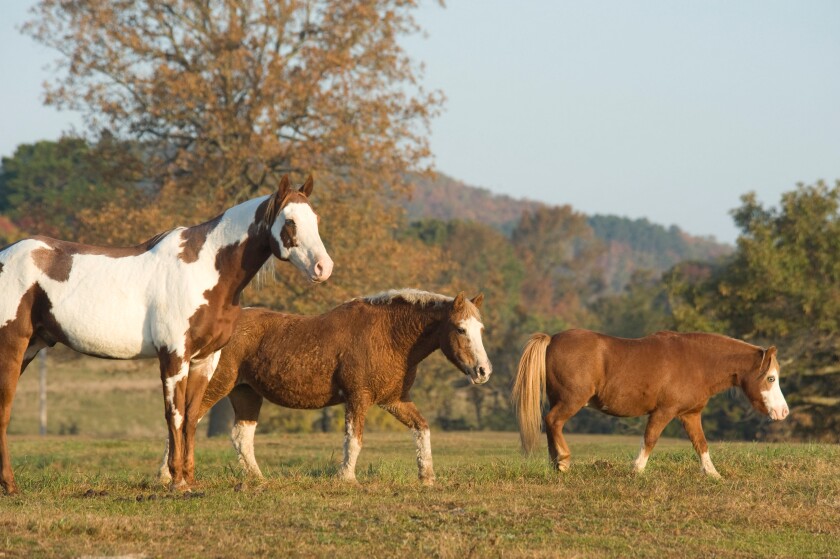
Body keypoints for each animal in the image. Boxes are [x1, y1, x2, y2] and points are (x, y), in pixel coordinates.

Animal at [0, 175, 333, 493]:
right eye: (290, 221)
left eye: (316, 219)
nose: (323, 268)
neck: (205, 270)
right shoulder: (174, 356)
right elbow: (175, 416)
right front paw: (176, 481)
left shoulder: (204, 360)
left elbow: (192, 417)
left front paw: (189, 479)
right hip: (12, 347)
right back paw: (11, 486)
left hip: (31, 347)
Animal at [158, 289, 491, 486]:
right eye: (460, 329)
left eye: (480, 329)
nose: (483, 371)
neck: (388, 335)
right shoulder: (358, 398)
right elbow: (353, 440)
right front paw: (346, 478)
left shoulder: (395, 400)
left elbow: (422, 429)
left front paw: (427, 476)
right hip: (216, 387)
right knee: (183, 420)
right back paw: (168, 476)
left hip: (246, 393)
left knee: (241, 437)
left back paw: (258, 479)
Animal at [512, 329, 789, 477]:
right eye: (771, 378)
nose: (783, 412)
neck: (697, 362)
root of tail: (552, 339)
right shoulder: (663, 412)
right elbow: (650, 439)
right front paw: (637, 470)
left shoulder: (690, 415)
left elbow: (701, 444)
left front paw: (713, 474)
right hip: (572, 400)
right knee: (553, 421)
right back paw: (563, 460)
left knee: (551, 425)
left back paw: (556, 463)